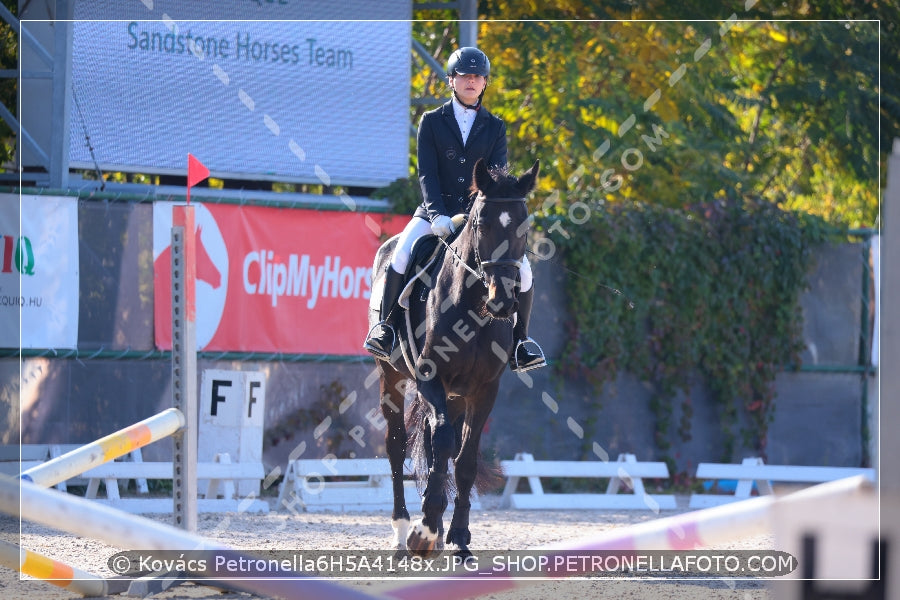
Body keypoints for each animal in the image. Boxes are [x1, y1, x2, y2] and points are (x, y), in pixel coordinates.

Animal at [368, 157, 536, 556]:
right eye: (481, 224)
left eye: (524, 225)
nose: (502, 302)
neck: (473, 308)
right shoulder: (430, 377)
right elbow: (441, 443)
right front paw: (425, 530)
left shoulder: (485, 389)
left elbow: (465, 458)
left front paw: (458, 537)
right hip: (391, 377)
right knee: (397, 446)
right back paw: (403, 530)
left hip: (457, 395)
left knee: (439, 443)